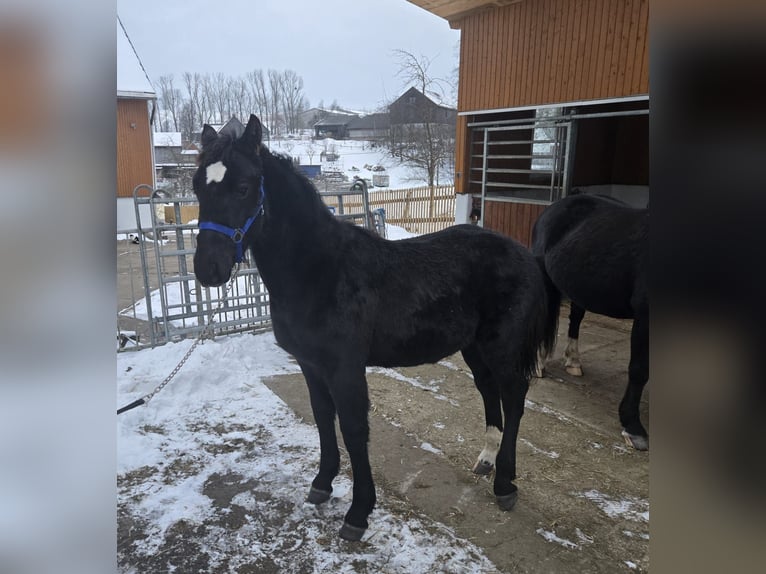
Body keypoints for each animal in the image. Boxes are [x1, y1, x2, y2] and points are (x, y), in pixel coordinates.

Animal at [192, 114, 558, 541]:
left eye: (244, 187)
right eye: (198, 187)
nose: (208, 269)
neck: (319, 270)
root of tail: (525, 254)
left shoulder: (346, 369)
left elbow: (354, 430)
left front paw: (358, 512)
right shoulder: (310, 365)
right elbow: (323, 419)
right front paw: (322, 484)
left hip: (502, 349)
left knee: (514, 398)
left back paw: (505, 484)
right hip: (474, 348)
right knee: (489, 393)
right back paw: (486, 461)